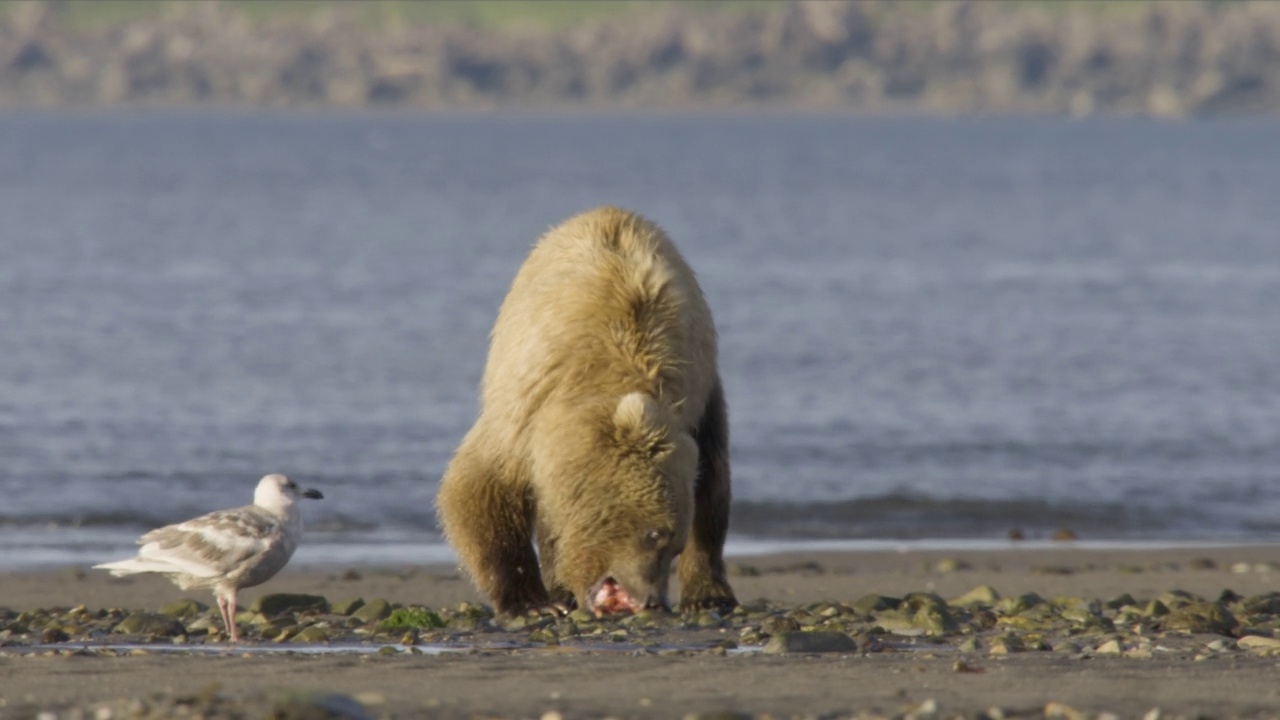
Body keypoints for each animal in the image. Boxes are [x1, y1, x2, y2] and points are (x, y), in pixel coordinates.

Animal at [435, 204, 737, 614]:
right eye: (653, 533)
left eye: (672, 545)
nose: (653, 600)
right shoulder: (526, 408)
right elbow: (480, 486)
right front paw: (533, 601)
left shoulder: (696, 400)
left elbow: (708, 494)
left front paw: (706, 594)